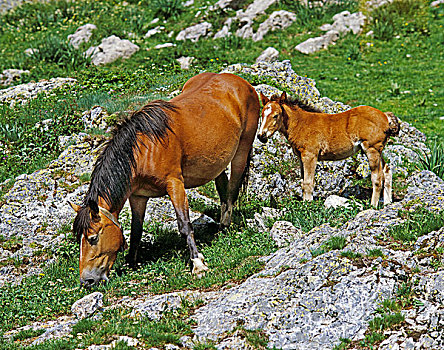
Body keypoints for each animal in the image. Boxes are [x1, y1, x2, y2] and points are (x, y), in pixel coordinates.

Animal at [69, 72, 260, 286]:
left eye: (93, 238)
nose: (87, 281)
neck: (143, 150)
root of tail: (239, 82)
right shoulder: (138, 196)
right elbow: (136, 231)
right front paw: (131, 263)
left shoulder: (175, 184)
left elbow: (184, 224)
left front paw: (198, 264)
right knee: (222, 186)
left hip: (241, 152)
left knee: (232, 191)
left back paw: (225, 228)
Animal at [256, 91, 398, 208]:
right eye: (262, 114)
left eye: (276, 115)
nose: (261, 136)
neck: (300, 124)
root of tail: (385, 117)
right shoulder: (301, 157)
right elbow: (303, 181)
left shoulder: (310, 155)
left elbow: (308, 183)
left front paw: (308, 206)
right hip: (378, 150)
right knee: (387, 171)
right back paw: (387, 204)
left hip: (372, 149)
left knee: (377, 177)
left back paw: (373, 206)